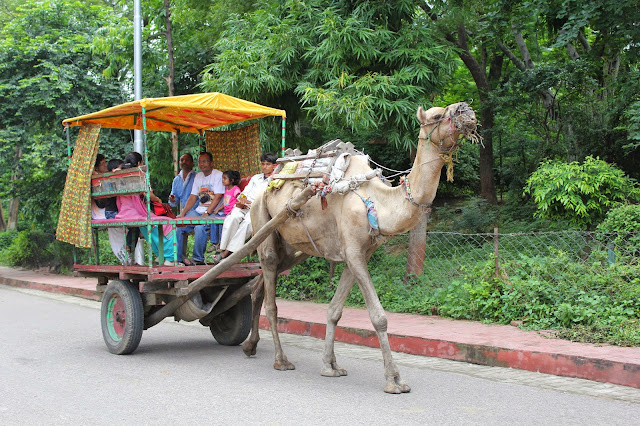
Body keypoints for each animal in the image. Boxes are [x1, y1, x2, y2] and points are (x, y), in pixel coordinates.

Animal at [242, 102, 478, 392]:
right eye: (436, 115)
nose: (465, 109)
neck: (378, 199)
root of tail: (265, 186)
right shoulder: (353, 252)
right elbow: (378, 317)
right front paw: (394, 379)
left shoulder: (358, 254)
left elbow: (334, 310)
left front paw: (330, 366)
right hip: (262, 222)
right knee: (271, 293)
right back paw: (281, 359)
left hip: (291, 246)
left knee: (258, 286)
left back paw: (250, 345)